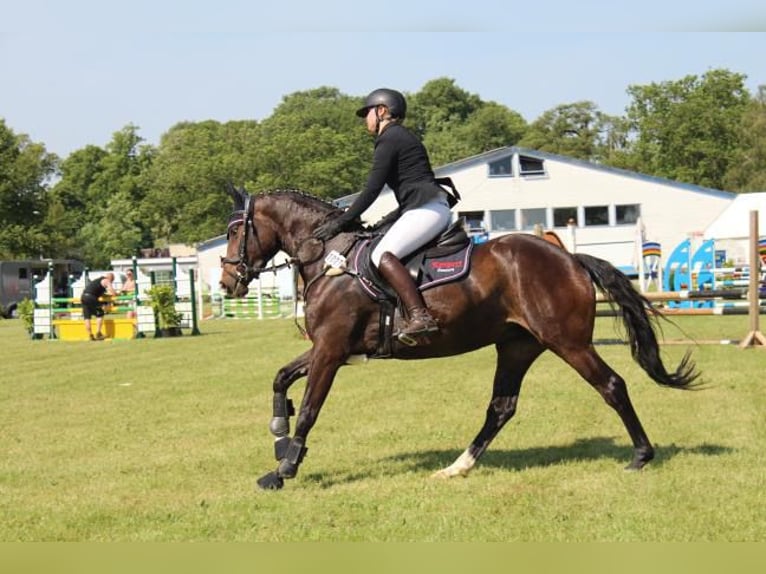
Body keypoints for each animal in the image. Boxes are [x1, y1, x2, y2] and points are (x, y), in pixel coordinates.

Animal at [219, 187, 700, 492]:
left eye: (235, 231)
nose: (227, 282)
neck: (329, 258)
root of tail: (570, 258)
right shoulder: (329, 348)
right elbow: (281, 378)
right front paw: (279, 436)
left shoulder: (331, 351)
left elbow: (310, 410)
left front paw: (283, 469)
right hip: (517, 345)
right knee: (501, 407)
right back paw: (456, 468)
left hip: (568, 342)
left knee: (611, 386)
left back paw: (641, 456)